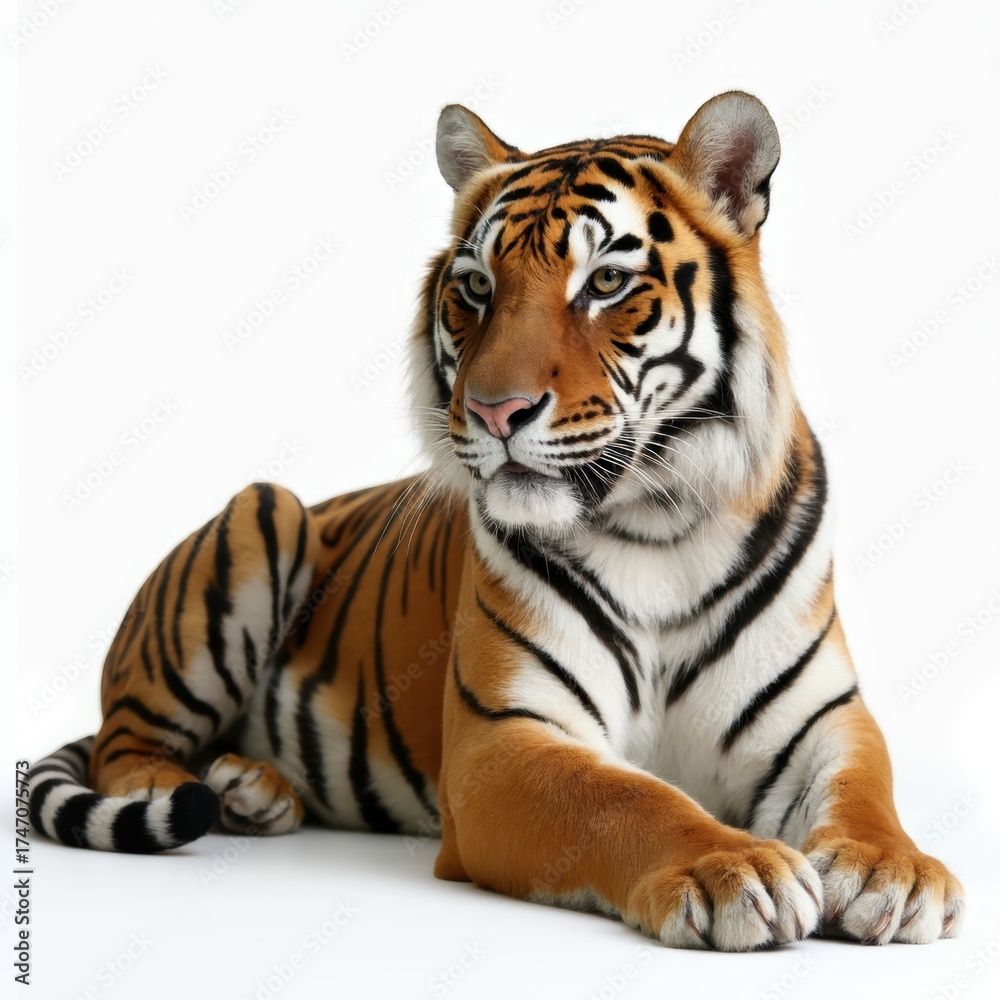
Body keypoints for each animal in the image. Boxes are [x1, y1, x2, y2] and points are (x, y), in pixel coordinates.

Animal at [28, 91, 965, 952]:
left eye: (606, 282)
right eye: (476, 289)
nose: (493, 410)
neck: (659, 523)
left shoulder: (822, 716)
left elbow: (863, 788)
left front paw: (891, 872)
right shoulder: (502, 743)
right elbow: (627, 796)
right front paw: (737, 867)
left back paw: (251, 791)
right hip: (263, 518)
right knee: (124, 743)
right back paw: (183, 790)